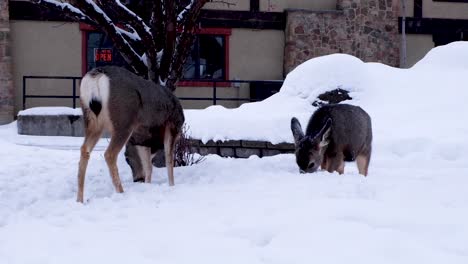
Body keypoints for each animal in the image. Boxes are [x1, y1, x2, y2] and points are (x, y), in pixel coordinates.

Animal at [76, 66, 184, 202]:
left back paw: (79, 199)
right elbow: (169, 162)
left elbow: (148, 167)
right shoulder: (172, 126)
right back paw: (121, 192)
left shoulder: (142, 140)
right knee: (109, 154)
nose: (138, 179)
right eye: (127, 160)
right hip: (123, 120)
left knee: (84, 150)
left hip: (91, 121)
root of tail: (97, 75)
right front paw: (171, 186)